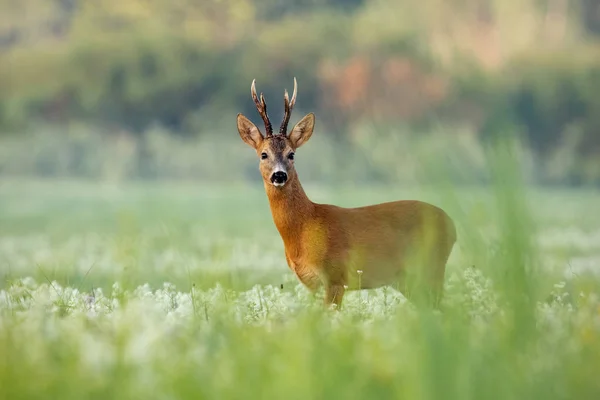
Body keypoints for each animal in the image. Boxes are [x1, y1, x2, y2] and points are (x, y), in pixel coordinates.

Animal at [237, 79, 458, 310]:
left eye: (291, 154)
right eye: (263, 154)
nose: (279, 175)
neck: (304, 227)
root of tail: (453, 226)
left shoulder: (335, 276)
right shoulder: (311, 284)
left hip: (431, 268)